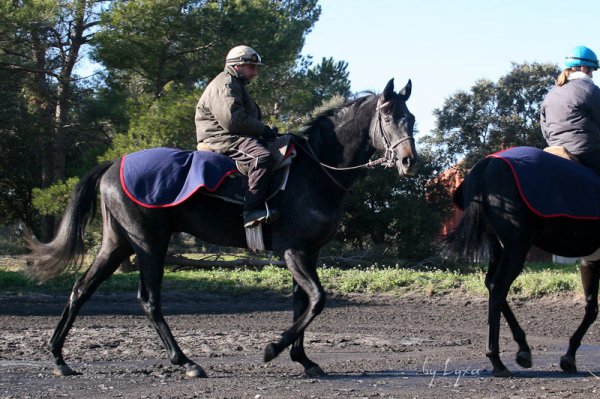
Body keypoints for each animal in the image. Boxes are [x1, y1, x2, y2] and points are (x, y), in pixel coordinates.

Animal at [24, 79, 418, 380]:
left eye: (411, 117)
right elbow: (318, 299)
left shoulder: (309, 252)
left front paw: (303, 360)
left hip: (116, 244)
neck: (314, 170)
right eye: (387, 115)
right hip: (149, 244)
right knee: (149, 300)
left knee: (81, 290)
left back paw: (59, 358)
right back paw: (185, 362)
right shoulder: (292, 250)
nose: (409, 161)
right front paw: (273, 348)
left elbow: (301, 302)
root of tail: (113, 163)